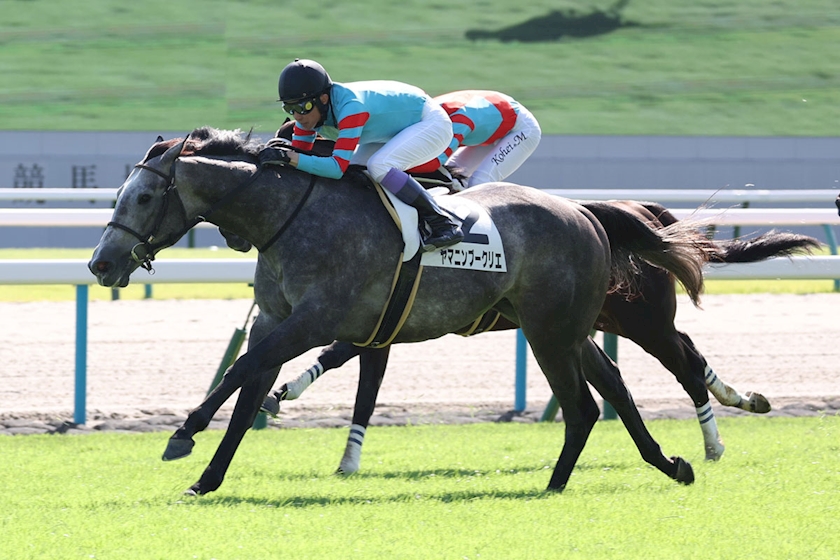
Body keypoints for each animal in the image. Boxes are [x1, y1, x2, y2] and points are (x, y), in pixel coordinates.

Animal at [88, 126, 714, 495]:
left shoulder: (315, 320)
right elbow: (247, 396)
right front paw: (206, 478)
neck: (290, 214)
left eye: (145, 196)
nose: (100, 263)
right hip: (566, 328)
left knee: (585, 405)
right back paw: (669, 463)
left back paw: (557, 485)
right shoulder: (276, 318)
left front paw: (184, 431)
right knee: (614, 388)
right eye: (119, 195)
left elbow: (242, 370)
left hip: (551, 330)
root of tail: (584, 212)